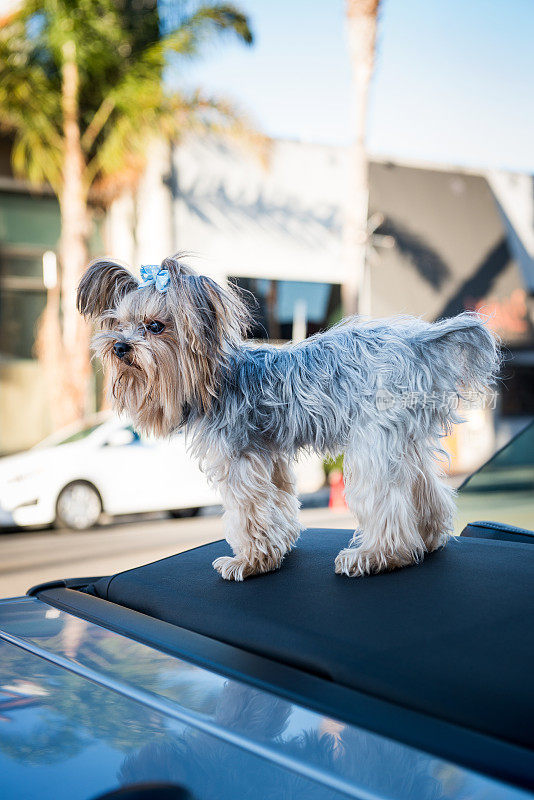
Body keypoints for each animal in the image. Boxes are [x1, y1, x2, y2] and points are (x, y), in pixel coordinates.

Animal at [77, 253, 500, 580]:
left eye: (155, 326)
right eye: (118, 324)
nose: (119, 346)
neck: (219, 378)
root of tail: (416, 342)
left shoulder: (239, 459)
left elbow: (249, 514)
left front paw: (250, 562)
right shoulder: (269, 454)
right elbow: (277, 501)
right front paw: (275, 549)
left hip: (373, 437)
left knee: (384, 498)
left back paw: (377, 555)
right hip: (404, 436)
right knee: (424, 485)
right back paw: (427, 539)